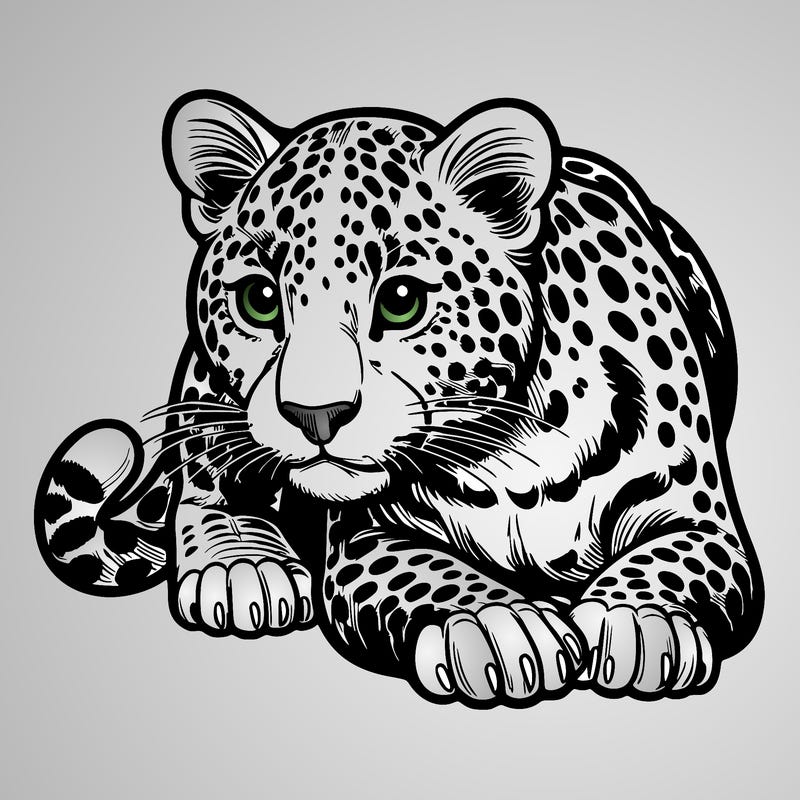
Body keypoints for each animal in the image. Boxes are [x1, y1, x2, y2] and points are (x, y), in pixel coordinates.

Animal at [34, 90, 763, 707]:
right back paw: (245, 565)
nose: (315, 415)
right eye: (260, 299)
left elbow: (665, 560)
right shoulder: (367, 537)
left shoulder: (700, 519)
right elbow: (433, 572)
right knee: (208, 477)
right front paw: (499, 625)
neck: (514, 449)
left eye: (402, 300)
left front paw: (637, 620)